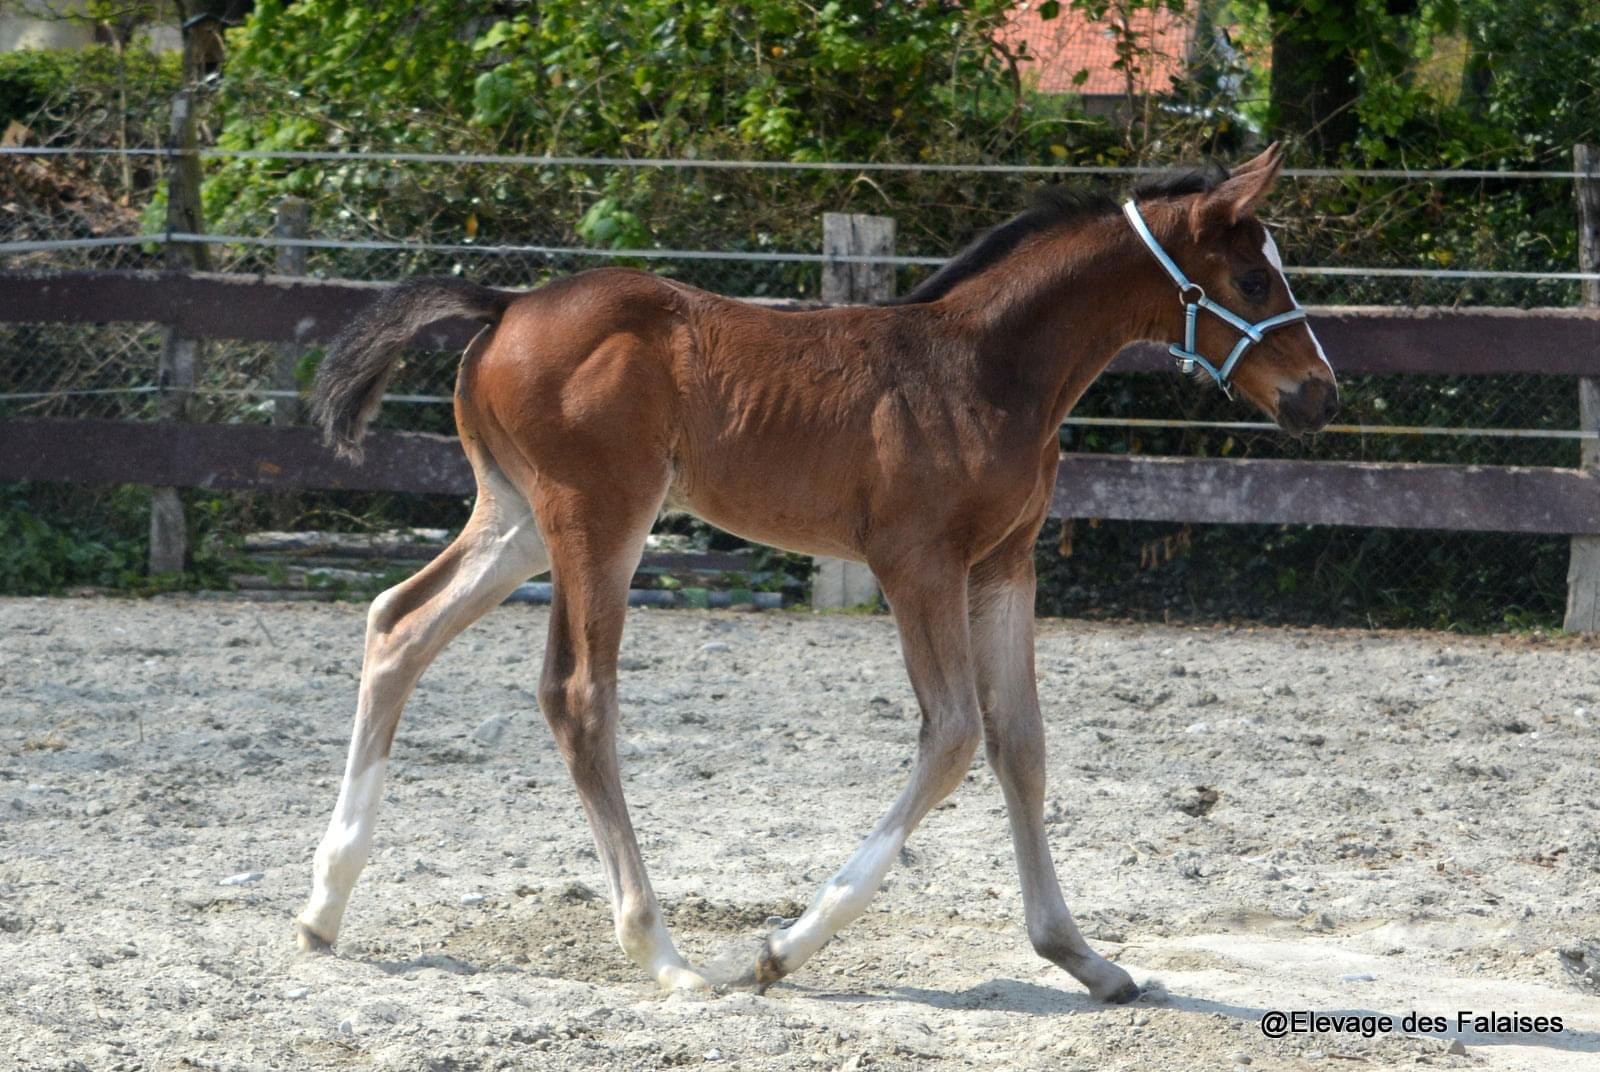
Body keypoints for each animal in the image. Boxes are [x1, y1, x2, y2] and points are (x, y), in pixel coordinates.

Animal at [300, 147, 1337, 1004]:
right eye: (1252, 276)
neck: (985, 369)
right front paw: (782, 950)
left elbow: (1022, 744)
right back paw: (664, 955)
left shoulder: (1005, 565)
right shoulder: (917, 561)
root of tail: (509, 304)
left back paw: (323, 905)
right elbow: (954, 737)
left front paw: (1084, 958)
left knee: (398, 623)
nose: (1320, 396)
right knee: (577, 693)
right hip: (599, 520)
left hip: (516, 520)